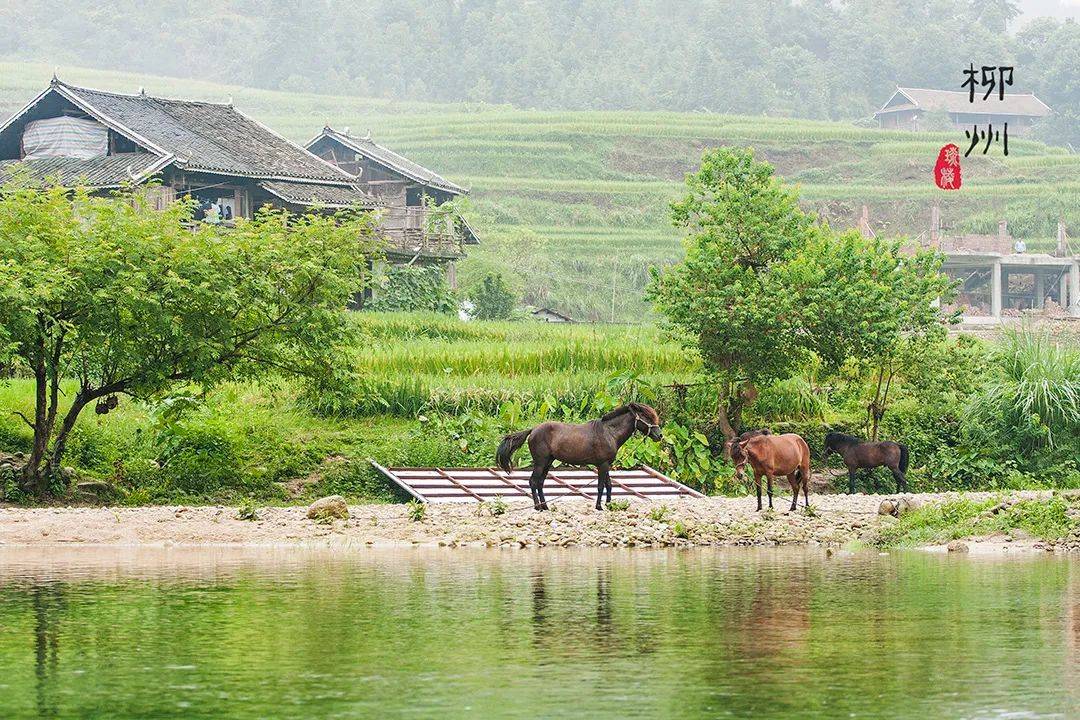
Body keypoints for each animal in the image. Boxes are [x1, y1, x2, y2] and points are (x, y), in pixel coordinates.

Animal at [494, 403, 660, 509]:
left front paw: (608, 504)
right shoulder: (602, 465)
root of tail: (533, 430)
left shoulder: (606, 465)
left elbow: (609, 485)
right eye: (647, 417)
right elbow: (600, 486)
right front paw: (599, 506)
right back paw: (537, 507)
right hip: (540, 463)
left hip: (548, 463)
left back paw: (545, 506)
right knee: (533, 482)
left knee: (540, 483)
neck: (609, 432)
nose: (660, 435)